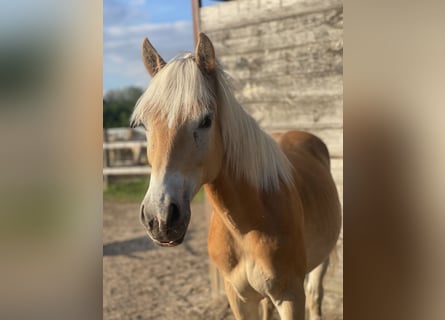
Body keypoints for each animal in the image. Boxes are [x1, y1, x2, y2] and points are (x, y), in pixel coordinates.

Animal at [130, 33, 342, 320]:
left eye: (206, 120)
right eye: (144, 124)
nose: (160, 218)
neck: (250, 224)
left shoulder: (290, 297)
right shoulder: (239, 298)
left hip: (321, 262)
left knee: (315, 297)